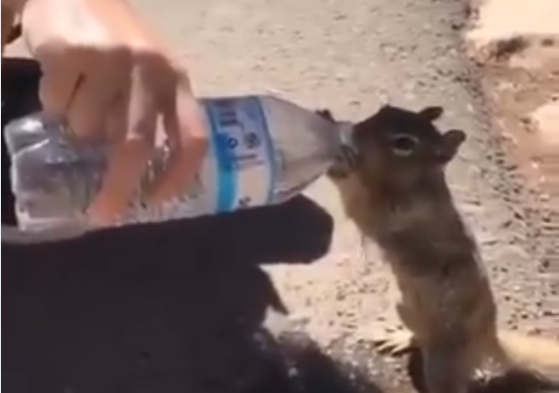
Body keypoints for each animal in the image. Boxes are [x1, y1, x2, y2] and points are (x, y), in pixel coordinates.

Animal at [320, 105, 559, 392]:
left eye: (404, 143)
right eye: (384, 110)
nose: (355, 133)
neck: (417, 183)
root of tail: (488, 336)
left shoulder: (394, 213)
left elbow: (358, 203)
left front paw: (339, 158)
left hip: (442, 361)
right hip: (406, 308)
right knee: (420, 338)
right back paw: (401, 337)